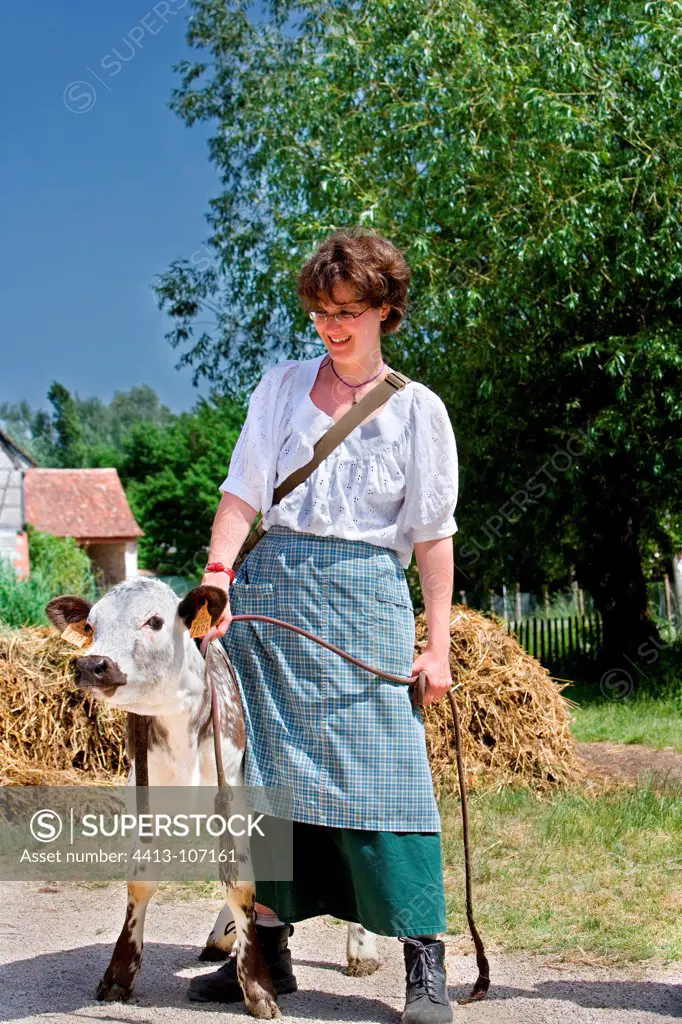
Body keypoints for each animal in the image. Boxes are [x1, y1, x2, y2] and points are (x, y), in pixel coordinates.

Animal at [46, 581, 376, 1011]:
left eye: (155, 621)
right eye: (91, 623)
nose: (92, 665)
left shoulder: (235, 808)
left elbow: (240, 885)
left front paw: (257, 986)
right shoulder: (146, 806)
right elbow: (141, 881)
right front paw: (119, 974)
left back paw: (362, 949)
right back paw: (223, 936)